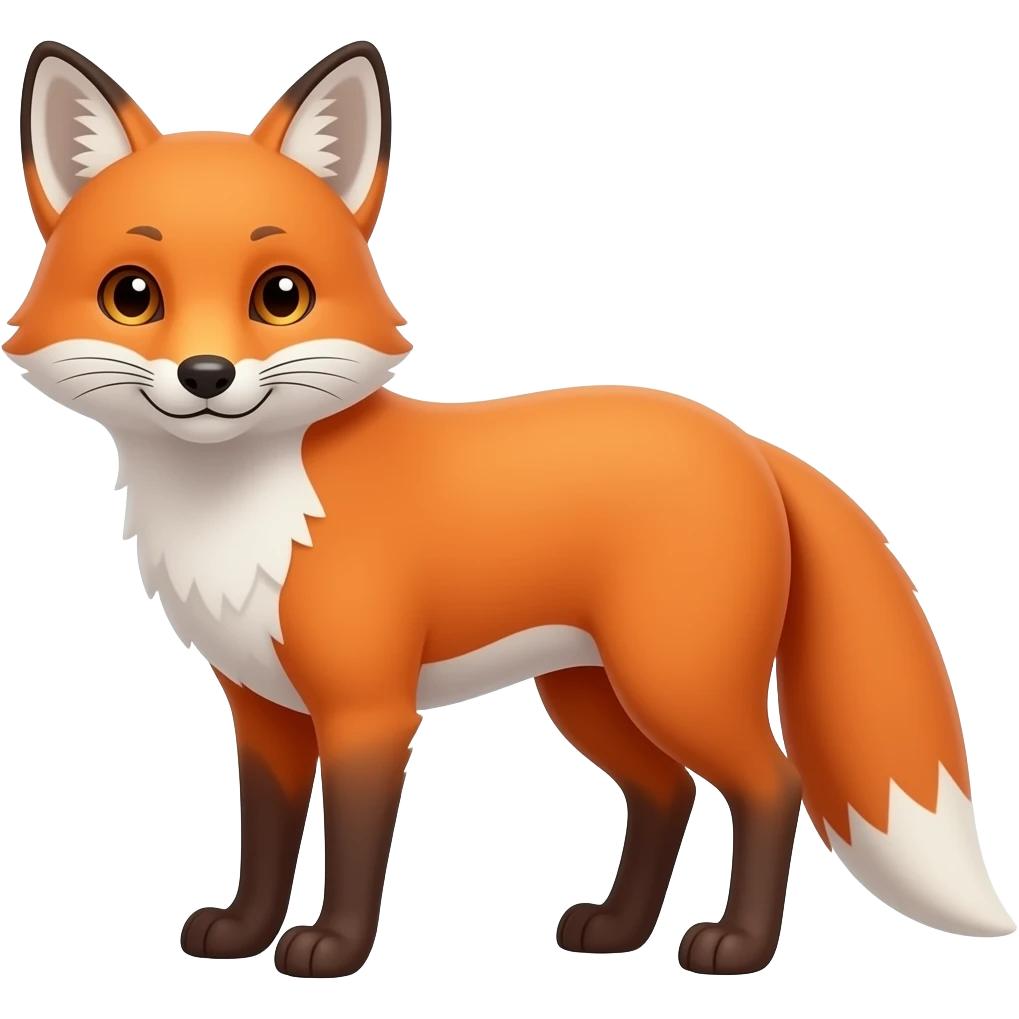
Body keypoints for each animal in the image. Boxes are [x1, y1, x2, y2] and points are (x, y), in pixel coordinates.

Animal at [7, 38, 1014, 979]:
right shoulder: (262, 707)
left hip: (673, 679)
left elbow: (354, 847)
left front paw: (333, 947)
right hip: (589, 692)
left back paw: (735, 944)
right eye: (133, 295)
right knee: (665, 792)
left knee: (773, 783)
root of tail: (745, 441)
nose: (206, 375)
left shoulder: (368, 707)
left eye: (280, 295)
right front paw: (244, 934)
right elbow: (264, 840)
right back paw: (616, 930)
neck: (241, 516)